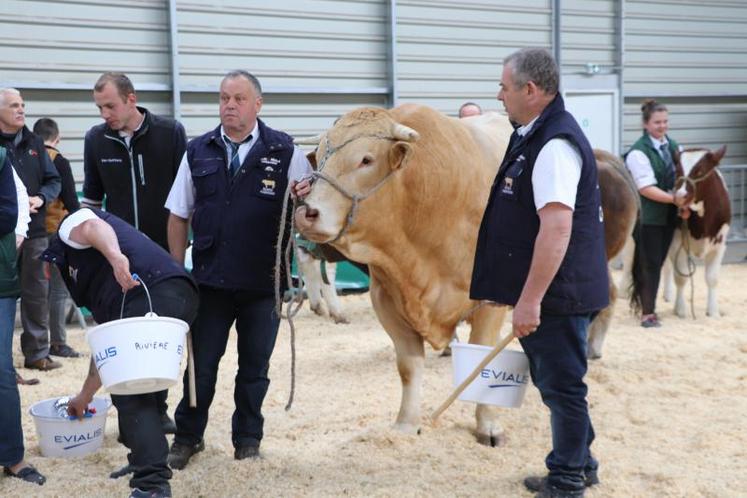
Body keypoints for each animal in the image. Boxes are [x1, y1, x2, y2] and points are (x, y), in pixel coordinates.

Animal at [668, 145, 732, 316]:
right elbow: (681, 278)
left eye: (699, 171)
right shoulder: (678, 244)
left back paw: (667, 296)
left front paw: (713, 311)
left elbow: (712, 278)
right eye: (678, 170)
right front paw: (681, 310)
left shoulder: (720, 245)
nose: (680, 196)